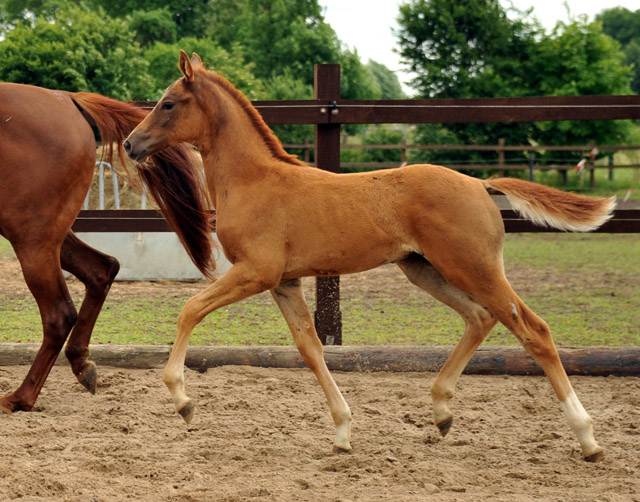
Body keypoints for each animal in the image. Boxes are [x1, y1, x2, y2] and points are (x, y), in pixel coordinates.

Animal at [0, 83, 215, 416]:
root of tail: (67, 99)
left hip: (31, 237)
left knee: (59, 314)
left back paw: (20, 398)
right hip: (47, 236)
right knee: (102, 268)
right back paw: (81, 363)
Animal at [124, 52, 616, 462]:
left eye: (168, 103)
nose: (130, 144)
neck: (254, 181)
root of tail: (480, 183)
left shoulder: (256, 272)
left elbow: (190, 309)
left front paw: (183, 401)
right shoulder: (285, 282)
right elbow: (310, 348)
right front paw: (342, 432)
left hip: (472, 267)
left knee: (533, 329)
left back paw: (588, 438)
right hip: (425, 270)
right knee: (480, 318)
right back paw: (441, 413)